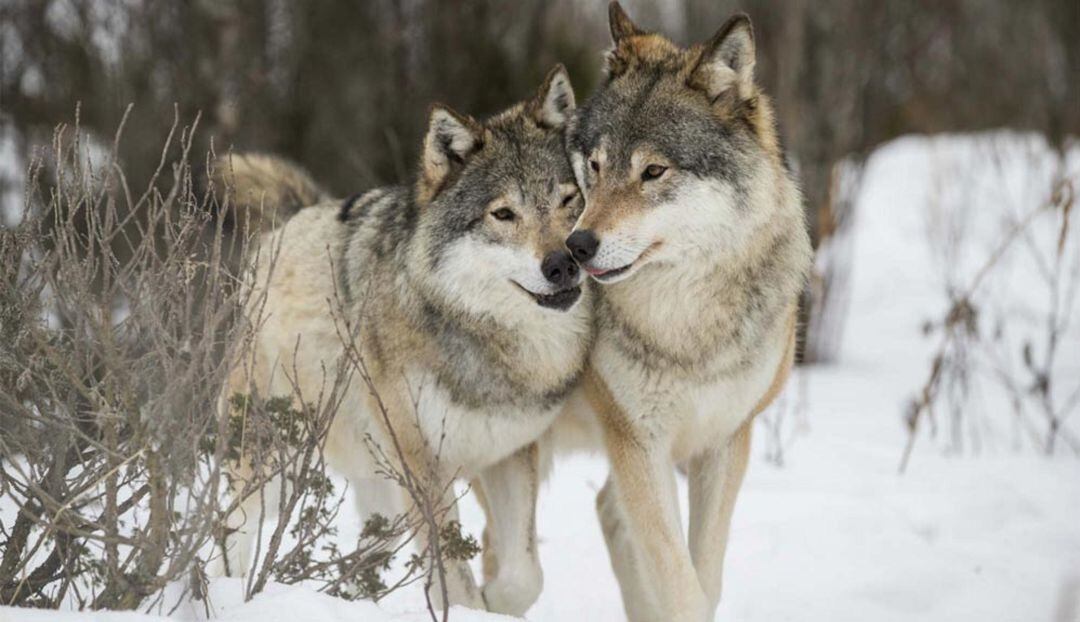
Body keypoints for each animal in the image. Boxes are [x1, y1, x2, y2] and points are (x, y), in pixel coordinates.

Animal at [217, 65, 591, 613]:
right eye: (503, 214)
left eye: (569, 200)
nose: (563, 263)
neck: (488, 340)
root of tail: (285, 224)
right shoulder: (423, 465)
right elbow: (453, 577)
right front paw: (471, 606)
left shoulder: (509, 453)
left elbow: (524, 575)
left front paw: (496, 601)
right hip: (273, 464)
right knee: (229, 531)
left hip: (381, 491)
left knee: (363, 555)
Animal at [565, 3, 812, 617]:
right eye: (596, 165)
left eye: (653, 172)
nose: (576, 247)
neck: (685, 327)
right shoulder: (639, 444)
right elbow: (681, 585)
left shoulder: (725, 443)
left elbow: (705, 574)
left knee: (608, 512)